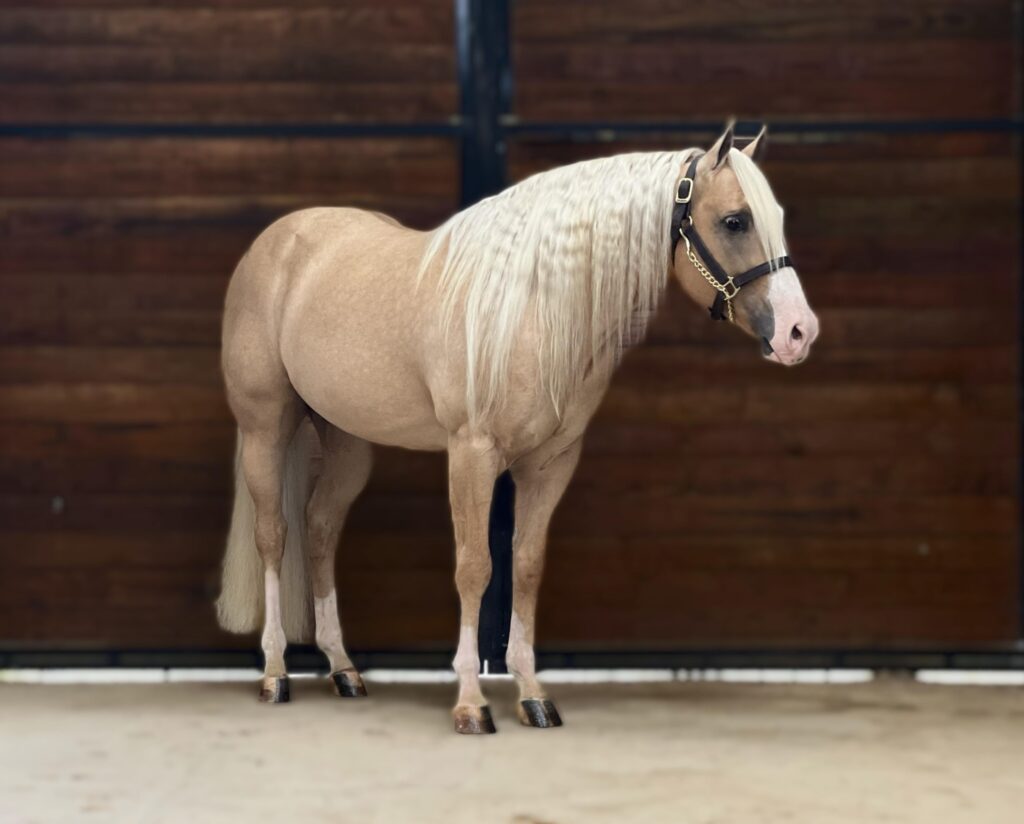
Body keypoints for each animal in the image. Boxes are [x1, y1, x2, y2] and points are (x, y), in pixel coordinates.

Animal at [214, 123, 815, 732]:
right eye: (735, 220)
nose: (799, 332)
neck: (530, 306)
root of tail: (280, 240)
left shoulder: (550, 463)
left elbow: (526, 566)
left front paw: (532, 694)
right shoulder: (472, 453)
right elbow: (474, 566)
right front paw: (471, 703)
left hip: (347, 441)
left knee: (318, 529)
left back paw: (343, 670)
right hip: (266, 427)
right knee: (273, 535)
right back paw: (275, 673)